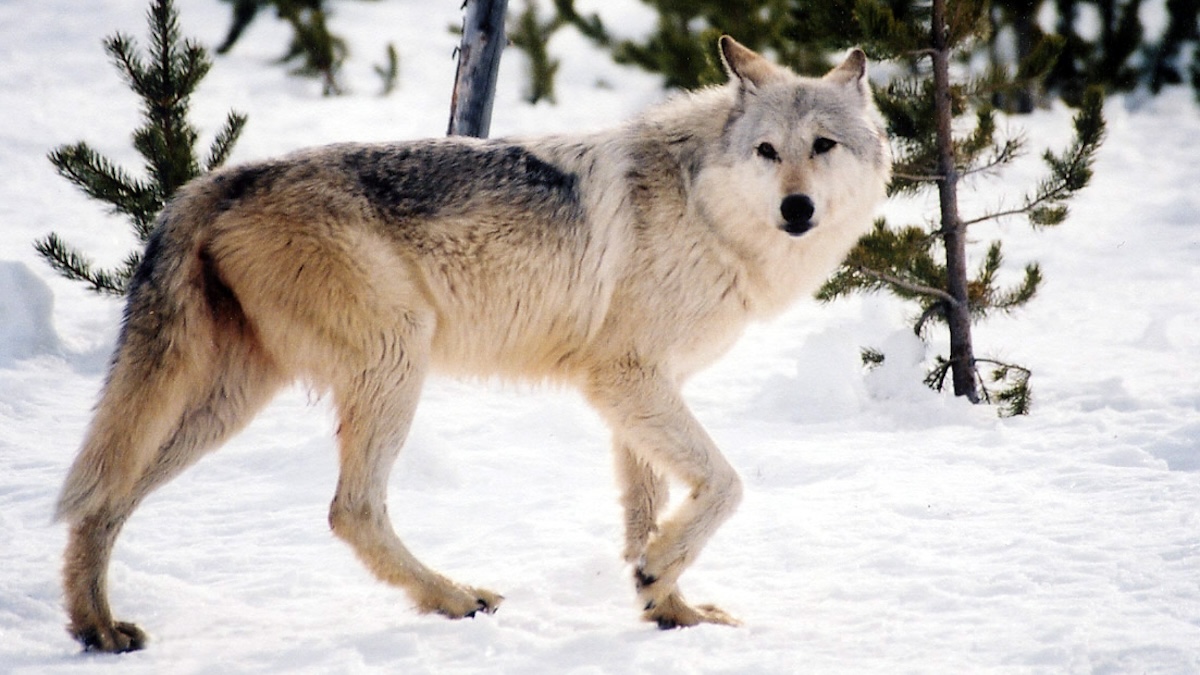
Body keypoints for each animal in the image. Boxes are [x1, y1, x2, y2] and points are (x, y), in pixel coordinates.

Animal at [55, 36, 890, 651]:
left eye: (823, 145)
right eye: (767, 151)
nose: (796, 208)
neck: (703, 208)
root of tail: (214, 181)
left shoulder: (639, 390)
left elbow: (646, 512)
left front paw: (668, 606)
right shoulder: (624, 378)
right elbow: (724, 485)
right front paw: (659, 578)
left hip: (228, 400)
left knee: (103, 500)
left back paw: (96, 627)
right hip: (395, 360)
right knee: (350, 510)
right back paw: (453, 597)